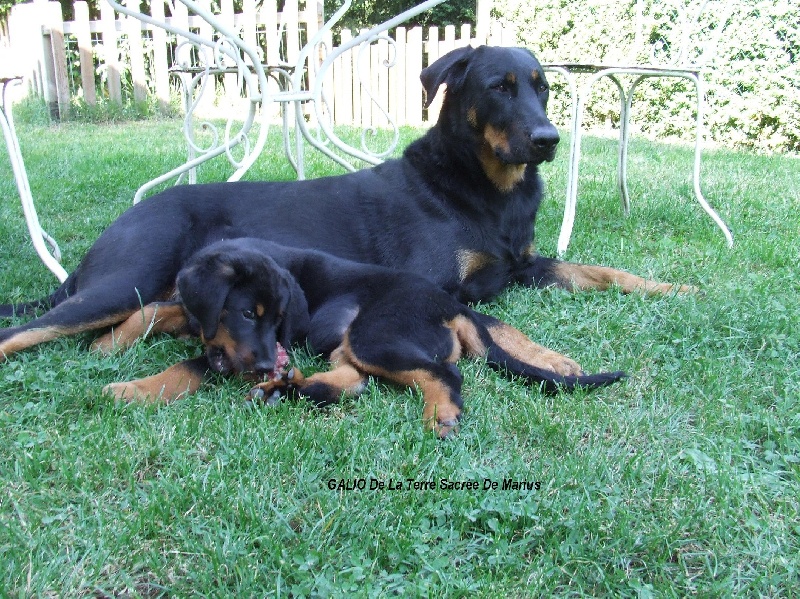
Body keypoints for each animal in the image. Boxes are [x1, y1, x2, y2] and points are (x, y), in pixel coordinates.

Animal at [0, 48, 688, 380]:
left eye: (544, 87)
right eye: (499, 87)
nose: (548, 140)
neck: (482, 188)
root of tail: (120, 222)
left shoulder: (520, 265)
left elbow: (598, 270)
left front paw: (672, 286)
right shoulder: (436, 283)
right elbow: (495, 322)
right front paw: (553, 358)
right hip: (130, 274)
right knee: (30, 329)